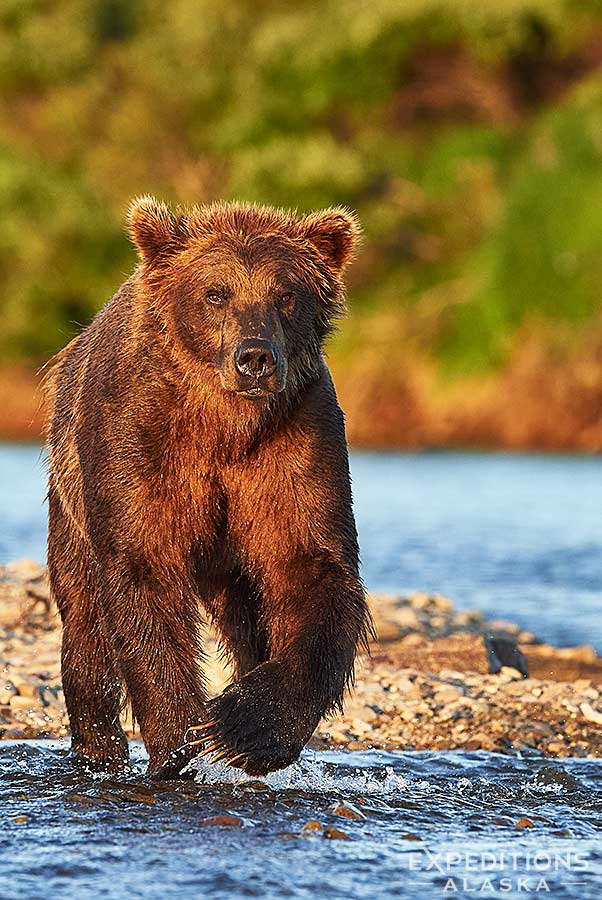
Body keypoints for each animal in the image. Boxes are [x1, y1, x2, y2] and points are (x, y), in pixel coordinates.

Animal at [44, 197, 371, 778]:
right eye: (216, 293)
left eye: (286, 293)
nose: (255, 357)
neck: (223, 426)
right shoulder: (140, 439)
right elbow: (142, 576)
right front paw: (182, 745)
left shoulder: (294, 443)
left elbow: (312, 570)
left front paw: (243, 726)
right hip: (70, 497)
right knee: (84, 626)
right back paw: (99, 751)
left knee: (250, 623)